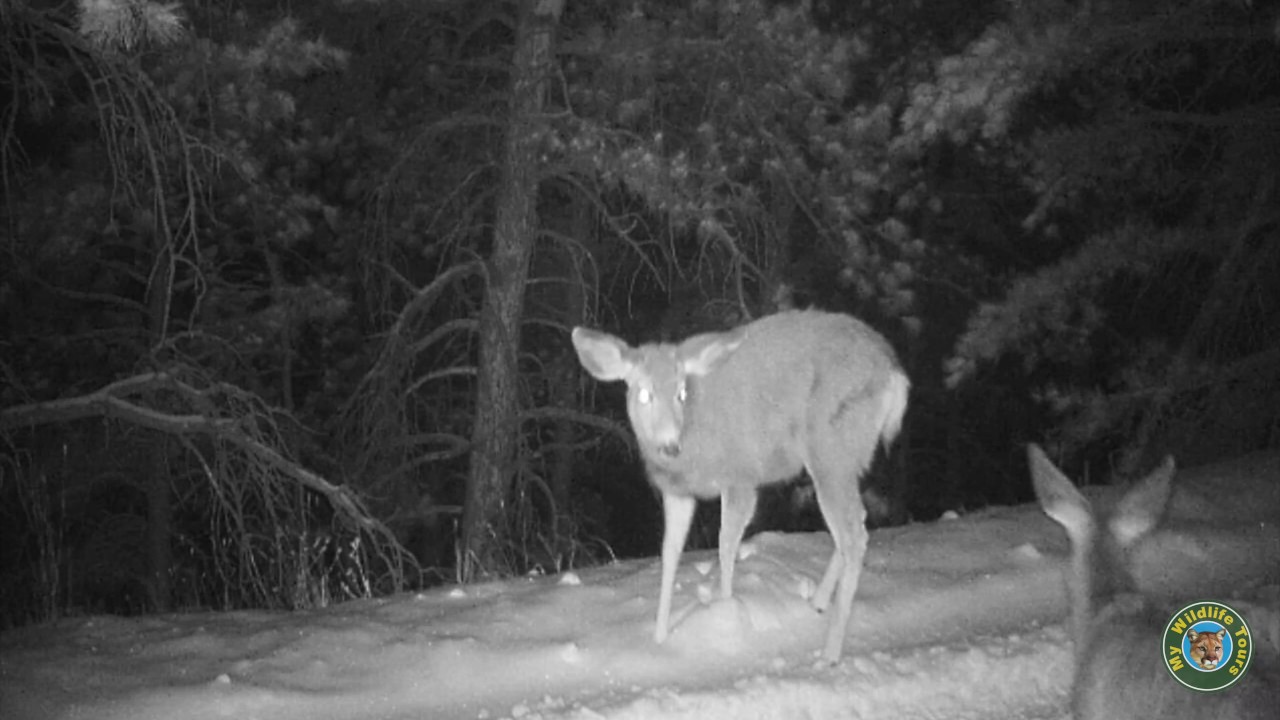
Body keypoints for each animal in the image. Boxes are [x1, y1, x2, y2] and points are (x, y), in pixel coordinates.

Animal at [572, 309, 909, 664]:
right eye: (643, 394)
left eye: (681, 393)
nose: (670, 445)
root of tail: (894, 371)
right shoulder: (678, 491)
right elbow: (669, 552)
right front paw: (660, 638)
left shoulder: (740, 475)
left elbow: (725, 543)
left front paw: (725, 612)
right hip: (848, 455)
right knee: (858, 521)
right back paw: (817, 602)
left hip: (833, 446)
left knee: (853, 535)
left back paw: (829, 652)